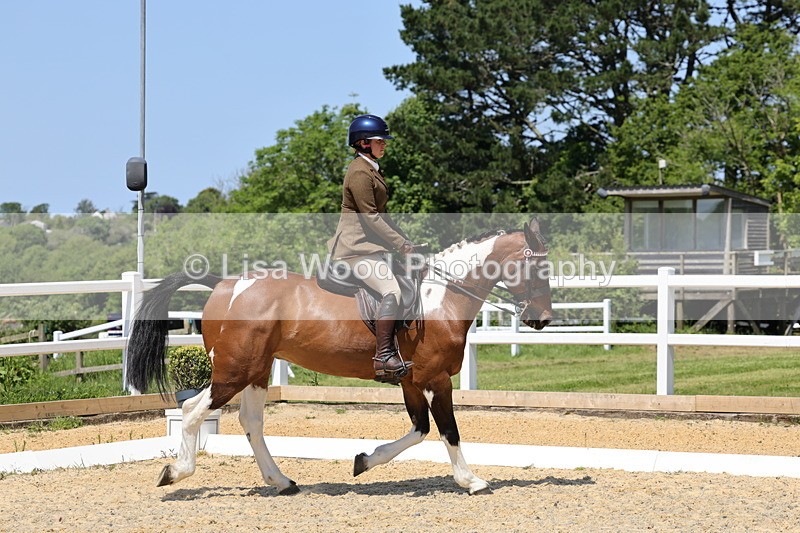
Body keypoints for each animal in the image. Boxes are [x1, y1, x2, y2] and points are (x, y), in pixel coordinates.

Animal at [126, 217, 553, 495]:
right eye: (538, 266)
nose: (542, 319)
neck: (441, 298)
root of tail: (224, 284)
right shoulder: (435, 379)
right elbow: (448, 430)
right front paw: (472, 481)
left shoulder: (411, 380)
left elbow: (419, 430)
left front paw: (363, 460)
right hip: (234, 371)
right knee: (194, 409)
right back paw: (176, 472)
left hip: (256, 370)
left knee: (251, 421)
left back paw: (281, 482)